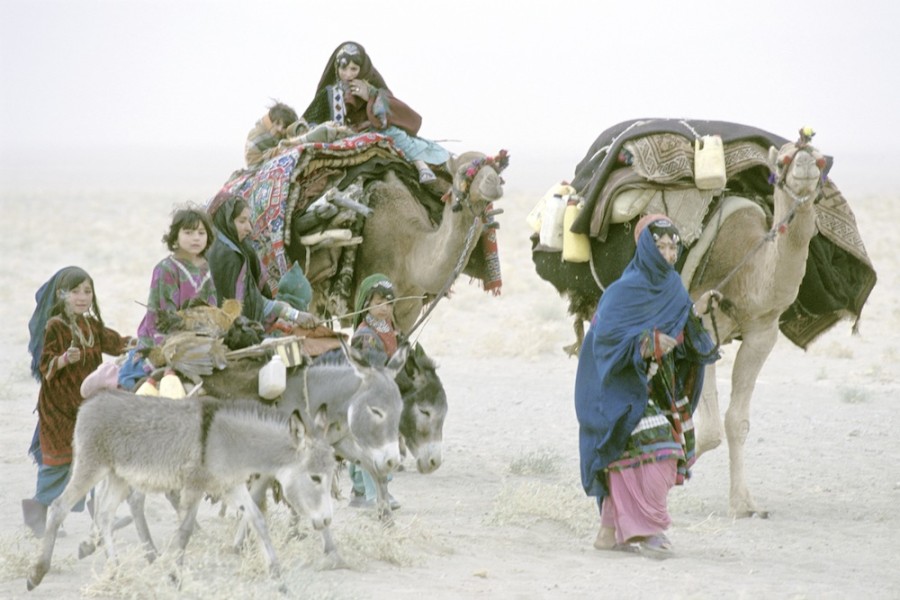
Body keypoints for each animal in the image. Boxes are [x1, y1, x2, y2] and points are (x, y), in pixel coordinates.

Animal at [692, 136, 828, 516]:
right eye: (782, 160)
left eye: (821, 160)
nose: (805, 165)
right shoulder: (702, 322)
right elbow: (709, 429)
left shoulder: (762, 333)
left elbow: (736, 422)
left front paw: (743, 504)